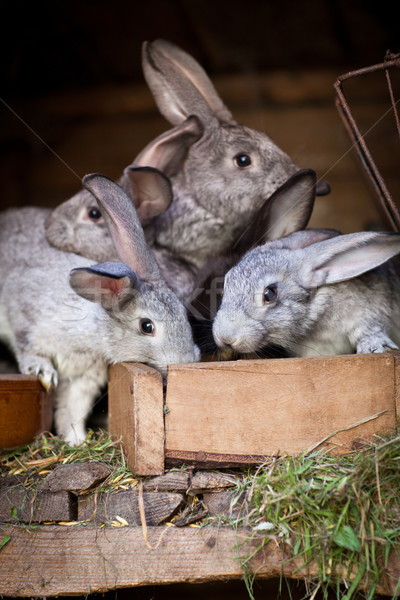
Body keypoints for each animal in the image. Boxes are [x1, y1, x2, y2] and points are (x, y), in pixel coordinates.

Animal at [0, 169, 200, 446]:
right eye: (146, 326)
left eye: (184, 314)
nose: (186, 361)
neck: (97, 330)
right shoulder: (24, 319)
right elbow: (28, 349)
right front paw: (44, 373)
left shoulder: (83, 380)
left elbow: (72, 410)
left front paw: (76, 440)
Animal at [212, 225, 400, 356]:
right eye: (224, 288)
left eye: (269, 294)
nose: (225, 339)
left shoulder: (369, 315)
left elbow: (370, 329)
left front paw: (373, 347)